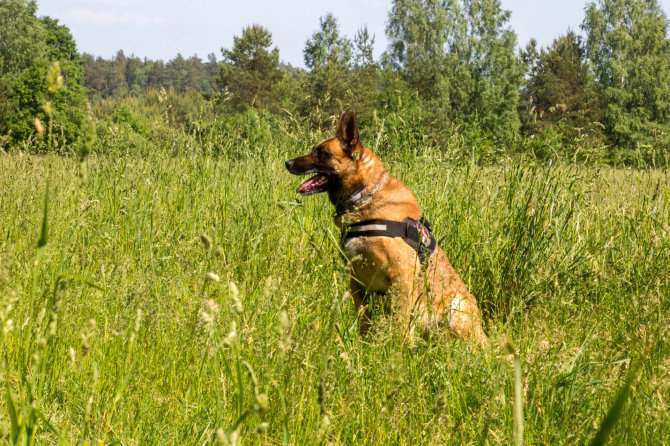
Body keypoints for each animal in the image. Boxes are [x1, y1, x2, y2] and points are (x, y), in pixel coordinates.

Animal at [286, 112, 486, 344]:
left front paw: (400, 352)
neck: (365, 195)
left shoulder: (403, 278)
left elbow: (402, 326)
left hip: (457, 307)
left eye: (321, 153)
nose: (287, 163)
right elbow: (363, 322)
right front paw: (361, 348)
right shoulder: (357, 282)